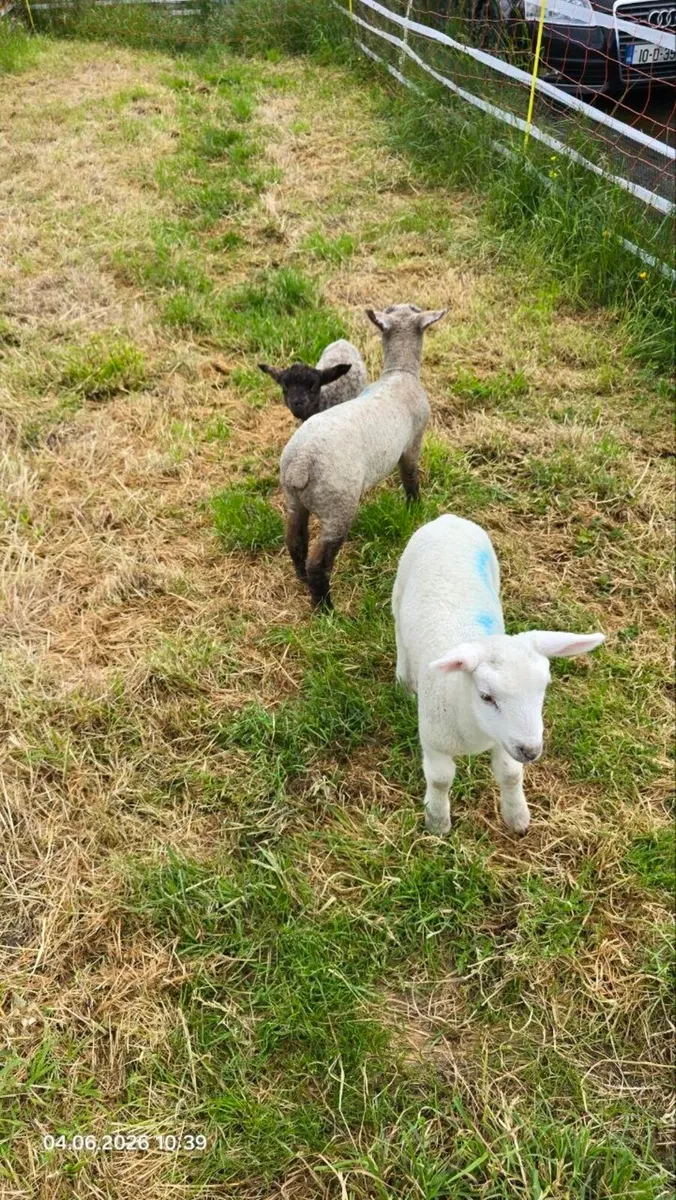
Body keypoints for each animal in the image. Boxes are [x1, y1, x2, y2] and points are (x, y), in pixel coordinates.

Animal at [280, 304, 446, 610]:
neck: (399, 373)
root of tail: (300, 464)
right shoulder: (413, 442)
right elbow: (410, 477)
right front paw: (415, 508)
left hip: (294, 501)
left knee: (295, 542)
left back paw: (302, 580)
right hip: (338, 507)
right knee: (319, 563)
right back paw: (326, 608)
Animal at [392, 513, 604, 836]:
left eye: (544, 688)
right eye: (486, 696)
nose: (531, 750)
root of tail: (449, 518)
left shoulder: (506, 740)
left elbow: (510, 774)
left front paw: (517, 817)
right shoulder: (434, 741)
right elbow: (440, 780)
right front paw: (437, 822)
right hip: (400, 586)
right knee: (399, 634)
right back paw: (404, 681)